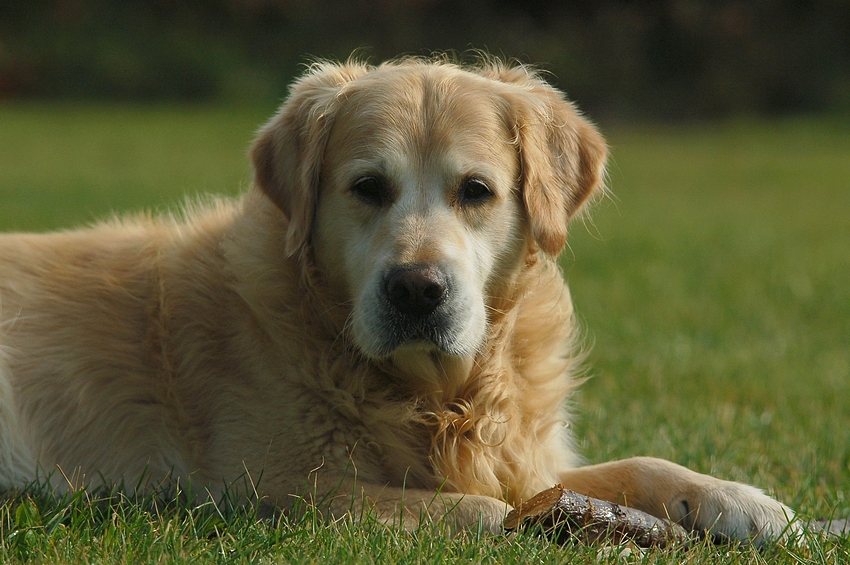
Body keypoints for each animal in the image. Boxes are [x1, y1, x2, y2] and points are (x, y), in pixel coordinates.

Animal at [0, 57, 796, 540]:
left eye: (476, 190)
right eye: (367, 188)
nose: (417, 289)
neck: (435, 396)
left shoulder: (520, 454)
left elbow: (638, 464)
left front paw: (742, 502)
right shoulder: (275, 489)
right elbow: (490, 511)